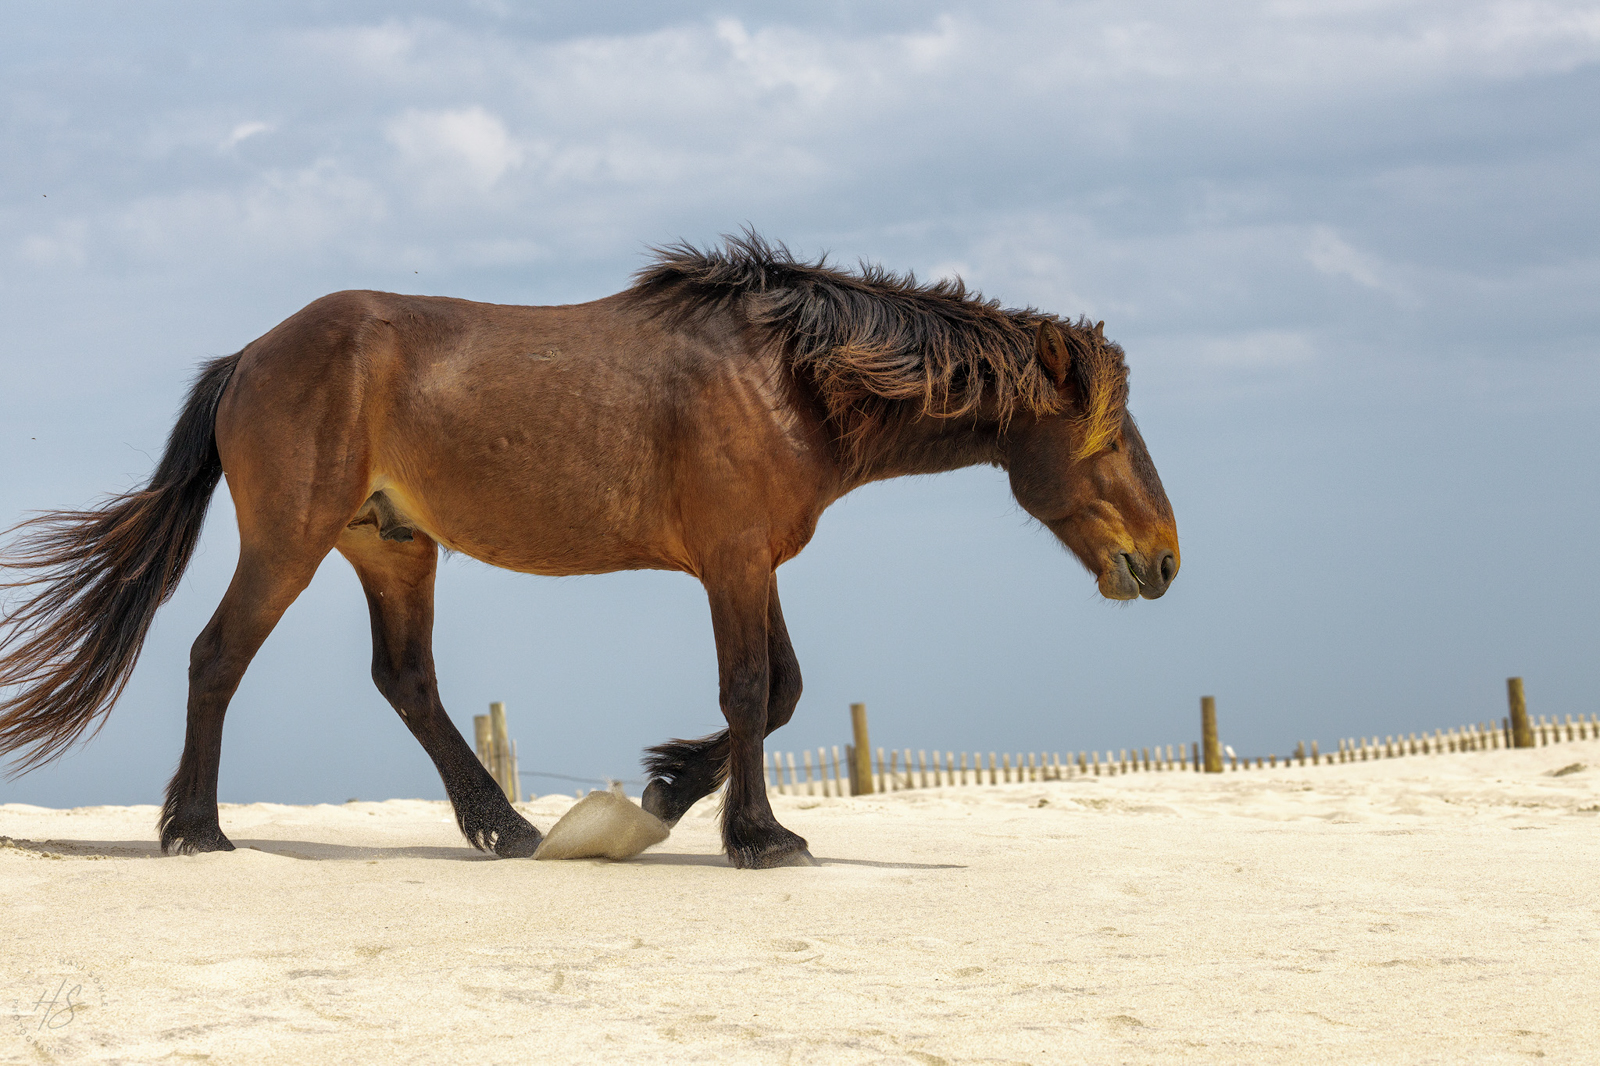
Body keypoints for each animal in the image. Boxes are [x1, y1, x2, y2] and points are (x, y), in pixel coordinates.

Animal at [0, 234, 1179, 869]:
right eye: (1110, 434)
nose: (1163, 561)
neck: (788, 378)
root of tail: (251, 353)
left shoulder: (755, 561)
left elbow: (784, 690)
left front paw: (665, 790)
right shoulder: (732, 559)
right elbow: (752, 688)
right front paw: (757, 836)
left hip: (391, 546)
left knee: (407, 682)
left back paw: (506, 829)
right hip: (289, 541)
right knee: (217, 658)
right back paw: (196, 830)